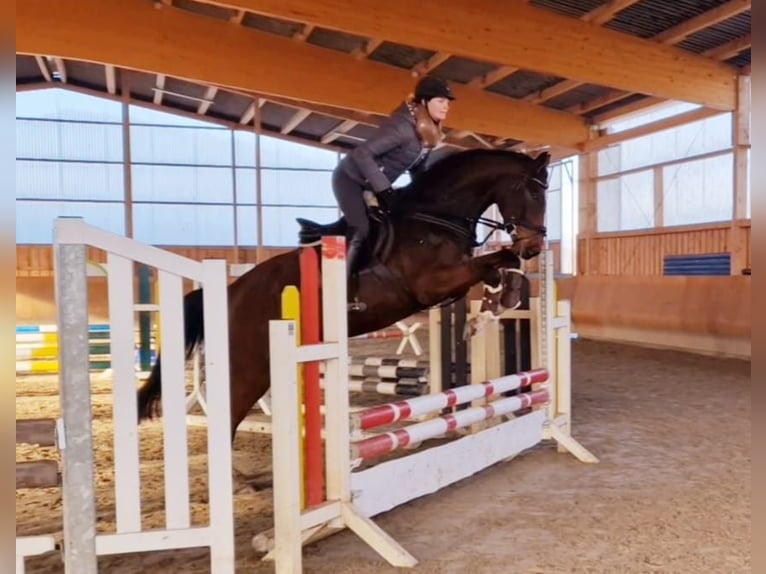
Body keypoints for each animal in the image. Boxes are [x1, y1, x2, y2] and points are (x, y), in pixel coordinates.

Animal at [137, 148, 551, 440]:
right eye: (532, 191)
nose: (534, 246)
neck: (435, 216)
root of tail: (232, 291)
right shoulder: (431, 283)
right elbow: (494, 259)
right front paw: (500, 295)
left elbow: (498, 261)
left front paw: (500, 298)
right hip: (251, 365)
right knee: (229, 414)